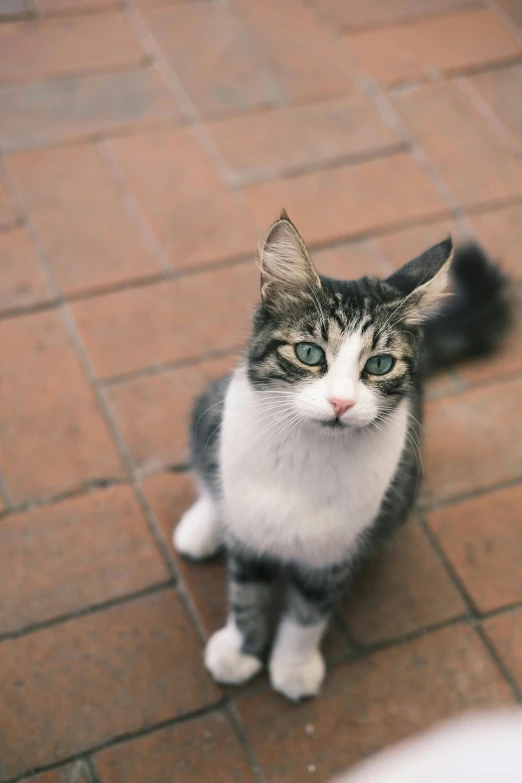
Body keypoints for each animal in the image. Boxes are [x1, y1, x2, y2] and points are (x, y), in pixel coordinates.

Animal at [174, 210, 508, 704]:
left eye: (380, 364)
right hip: (209, 411)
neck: (308, 452)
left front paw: (293, 667)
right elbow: (246, 594)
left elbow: (307, 615)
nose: (341, 403)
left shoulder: (335, 552)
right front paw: (239, 651)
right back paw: (203, 525)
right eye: (309, 353)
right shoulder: (252, 536)